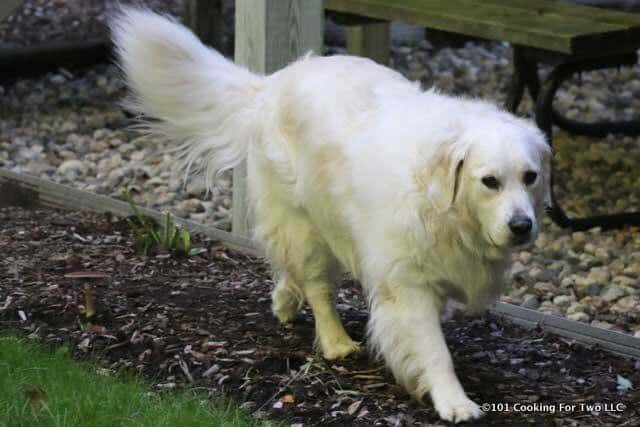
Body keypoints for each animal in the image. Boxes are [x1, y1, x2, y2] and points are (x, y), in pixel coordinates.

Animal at [110, 8, 552, 422]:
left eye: (530, 177)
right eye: (490, 181)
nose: (521, 226)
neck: (440, 200)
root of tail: (273, 83)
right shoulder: (406, 283)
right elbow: (432, 349)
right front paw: (453, 400)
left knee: (290, 272)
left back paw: (285, 301)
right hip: (305, 226)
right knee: (317, 288)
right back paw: (336, 341)